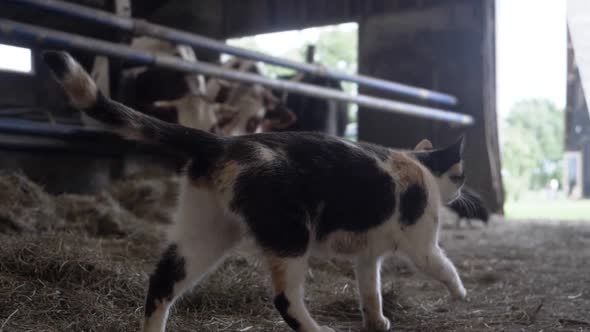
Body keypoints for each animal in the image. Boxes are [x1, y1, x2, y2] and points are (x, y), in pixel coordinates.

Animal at [42, 51, 472, 332]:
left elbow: (371, 291)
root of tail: (220, 142)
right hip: (289, 235)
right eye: (462, 175)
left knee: (162, 282)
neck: (420, 167)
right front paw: (460, 296)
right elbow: (445, 266)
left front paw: (378, 322)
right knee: (285, 299)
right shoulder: (422, 244)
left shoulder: (368, 257)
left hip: (205, 229)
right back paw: (319, 330)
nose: (460, 194)